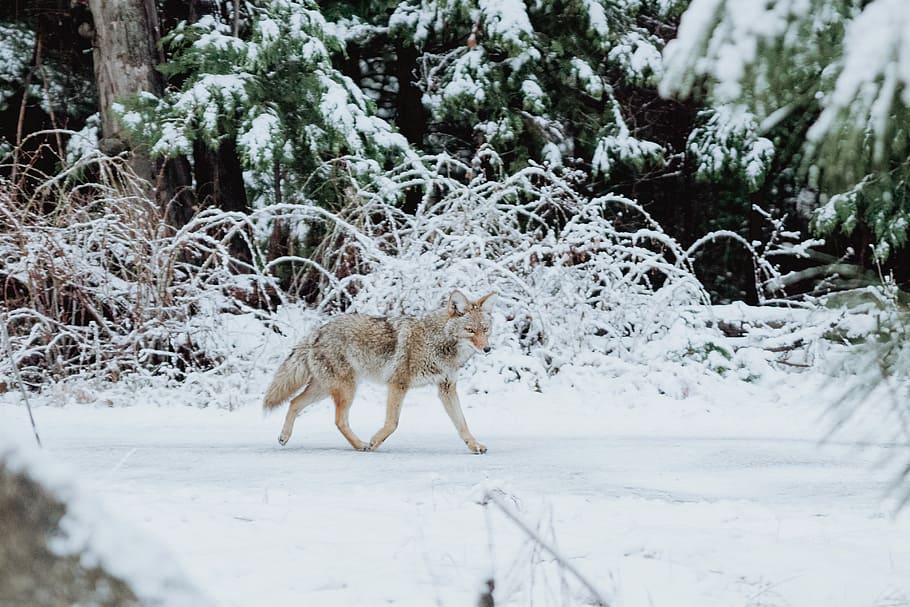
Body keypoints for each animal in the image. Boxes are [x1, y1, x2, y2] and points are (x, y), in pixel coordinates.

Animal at [262, 290, 496, 454]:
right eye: (470, 330)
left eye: (485, 329)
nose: (487, 349)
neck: (436, 343)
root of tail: (316, 332)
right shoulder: (398, 384)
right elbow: (392, 423)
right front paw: (375, 441)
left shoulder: (447, 388)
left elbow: (462, 423)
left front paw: (474, 446)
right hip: (346, 390)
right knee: (338, 420)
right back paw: (361, 445)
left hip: (324, 389)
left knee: (294, 402)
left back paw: (284, 437)